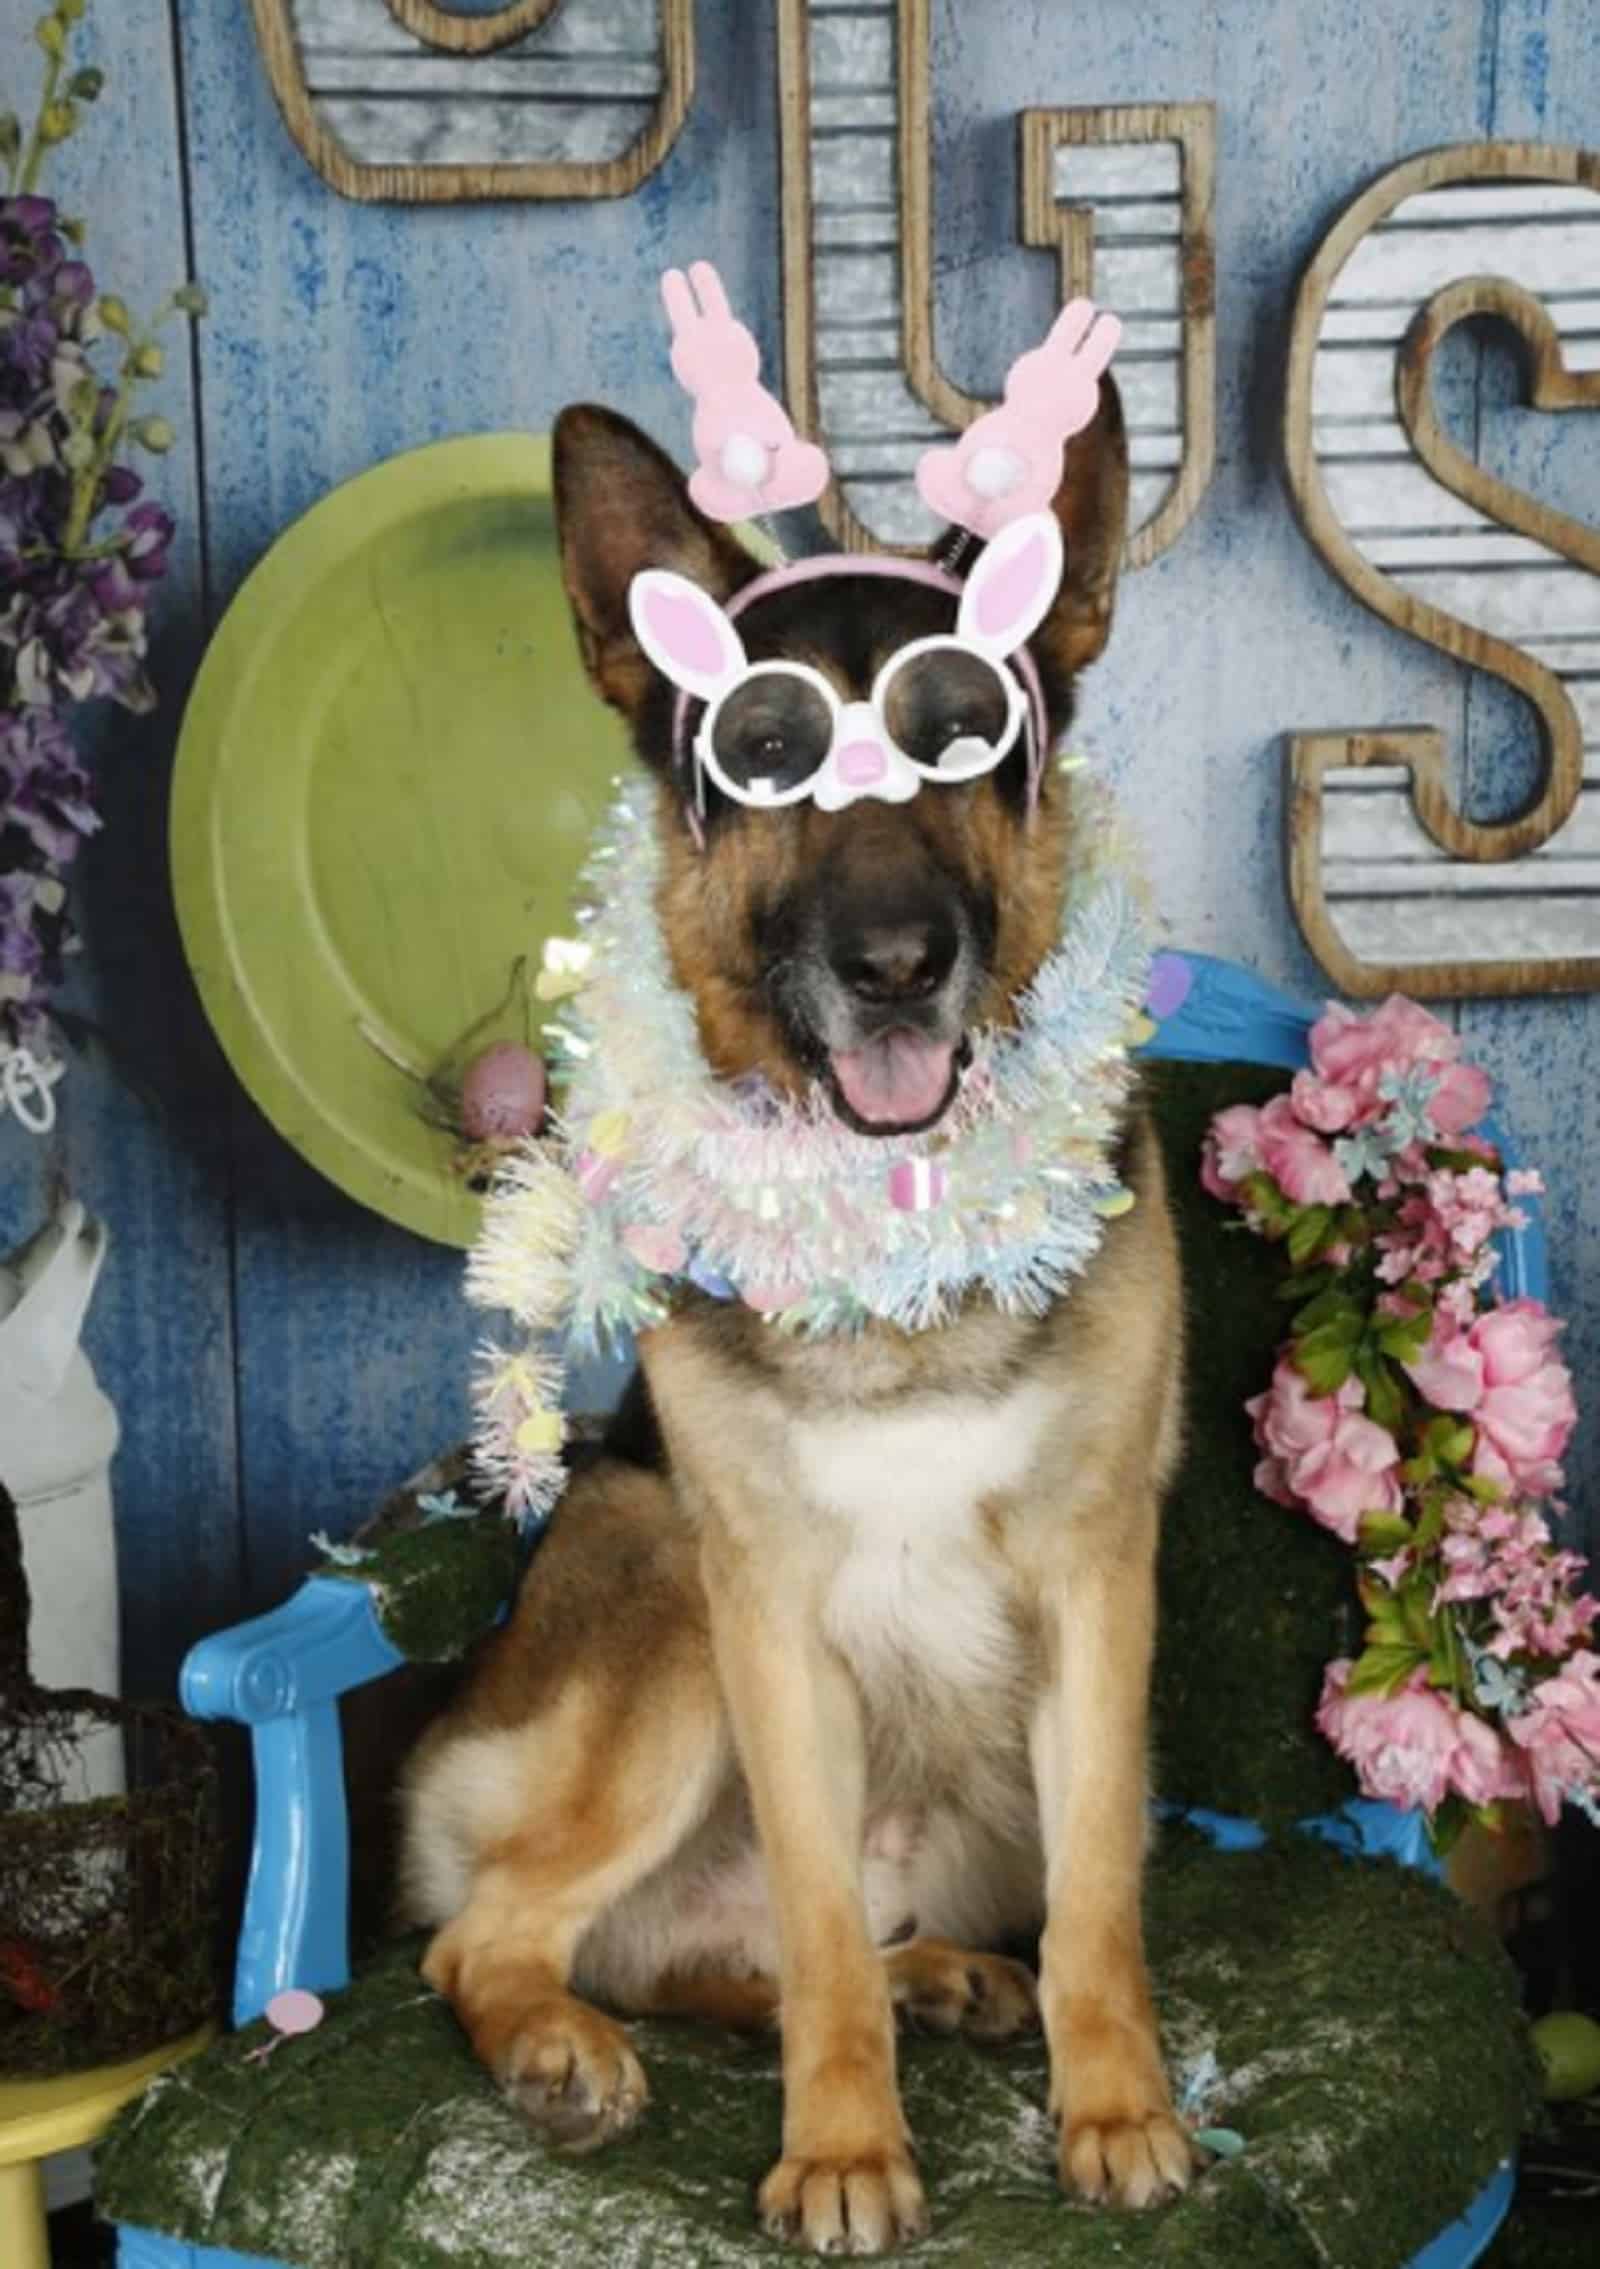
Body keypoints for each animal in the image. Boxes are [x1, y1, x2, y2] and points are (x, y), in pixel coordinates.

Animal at [401, 381, 1189, 2241]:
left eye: (965, 736)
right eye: (769, 757)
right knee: (496, 1938)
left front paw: (1114, 2102)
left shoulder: (1097, 1584)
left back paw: (944, 1979)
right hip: (678, 1602)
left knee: (712, 1961)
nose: (899, 963)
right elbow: (823, 1921)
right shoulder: (765, 1611)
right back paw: (561, 2048)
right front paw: (841, 2147)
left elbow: (1098, 1900)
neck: (893, 1223)